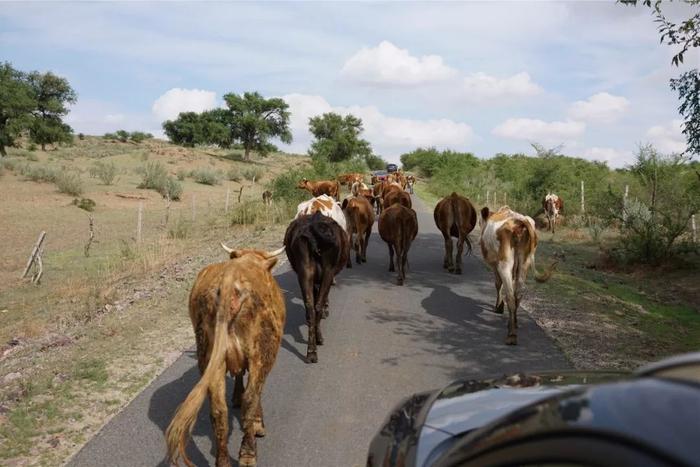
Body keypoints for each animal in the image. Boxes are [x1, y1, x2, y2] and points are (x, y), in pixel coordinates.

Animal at [165, 245, 286, 467]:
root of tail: (230, 280)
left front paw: (236, 397)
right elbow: (255, 393)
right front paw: (258, 424)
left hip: (209, 356)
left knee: (219, 410)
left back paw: (223, 460)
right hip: (261, 352)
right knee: (250, 399)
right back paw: (248, 455)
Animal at [284, 211, 350, 362]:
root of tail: (312, 227)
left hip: (305, 272)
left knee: (310, 309)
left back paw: (311, 351)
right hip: (328, 272)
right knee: (318, 306)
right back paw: (318, 341)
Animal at [478, 207, 556, 346]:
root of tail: (520, 222)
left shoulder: (494, 264)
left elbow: (498, 284)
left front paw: (499, 306)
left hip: (505, 263)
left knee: (510, 294)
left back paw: (511, 335)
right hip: (524, 262)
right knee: (518, 292)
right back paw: (514, 323)